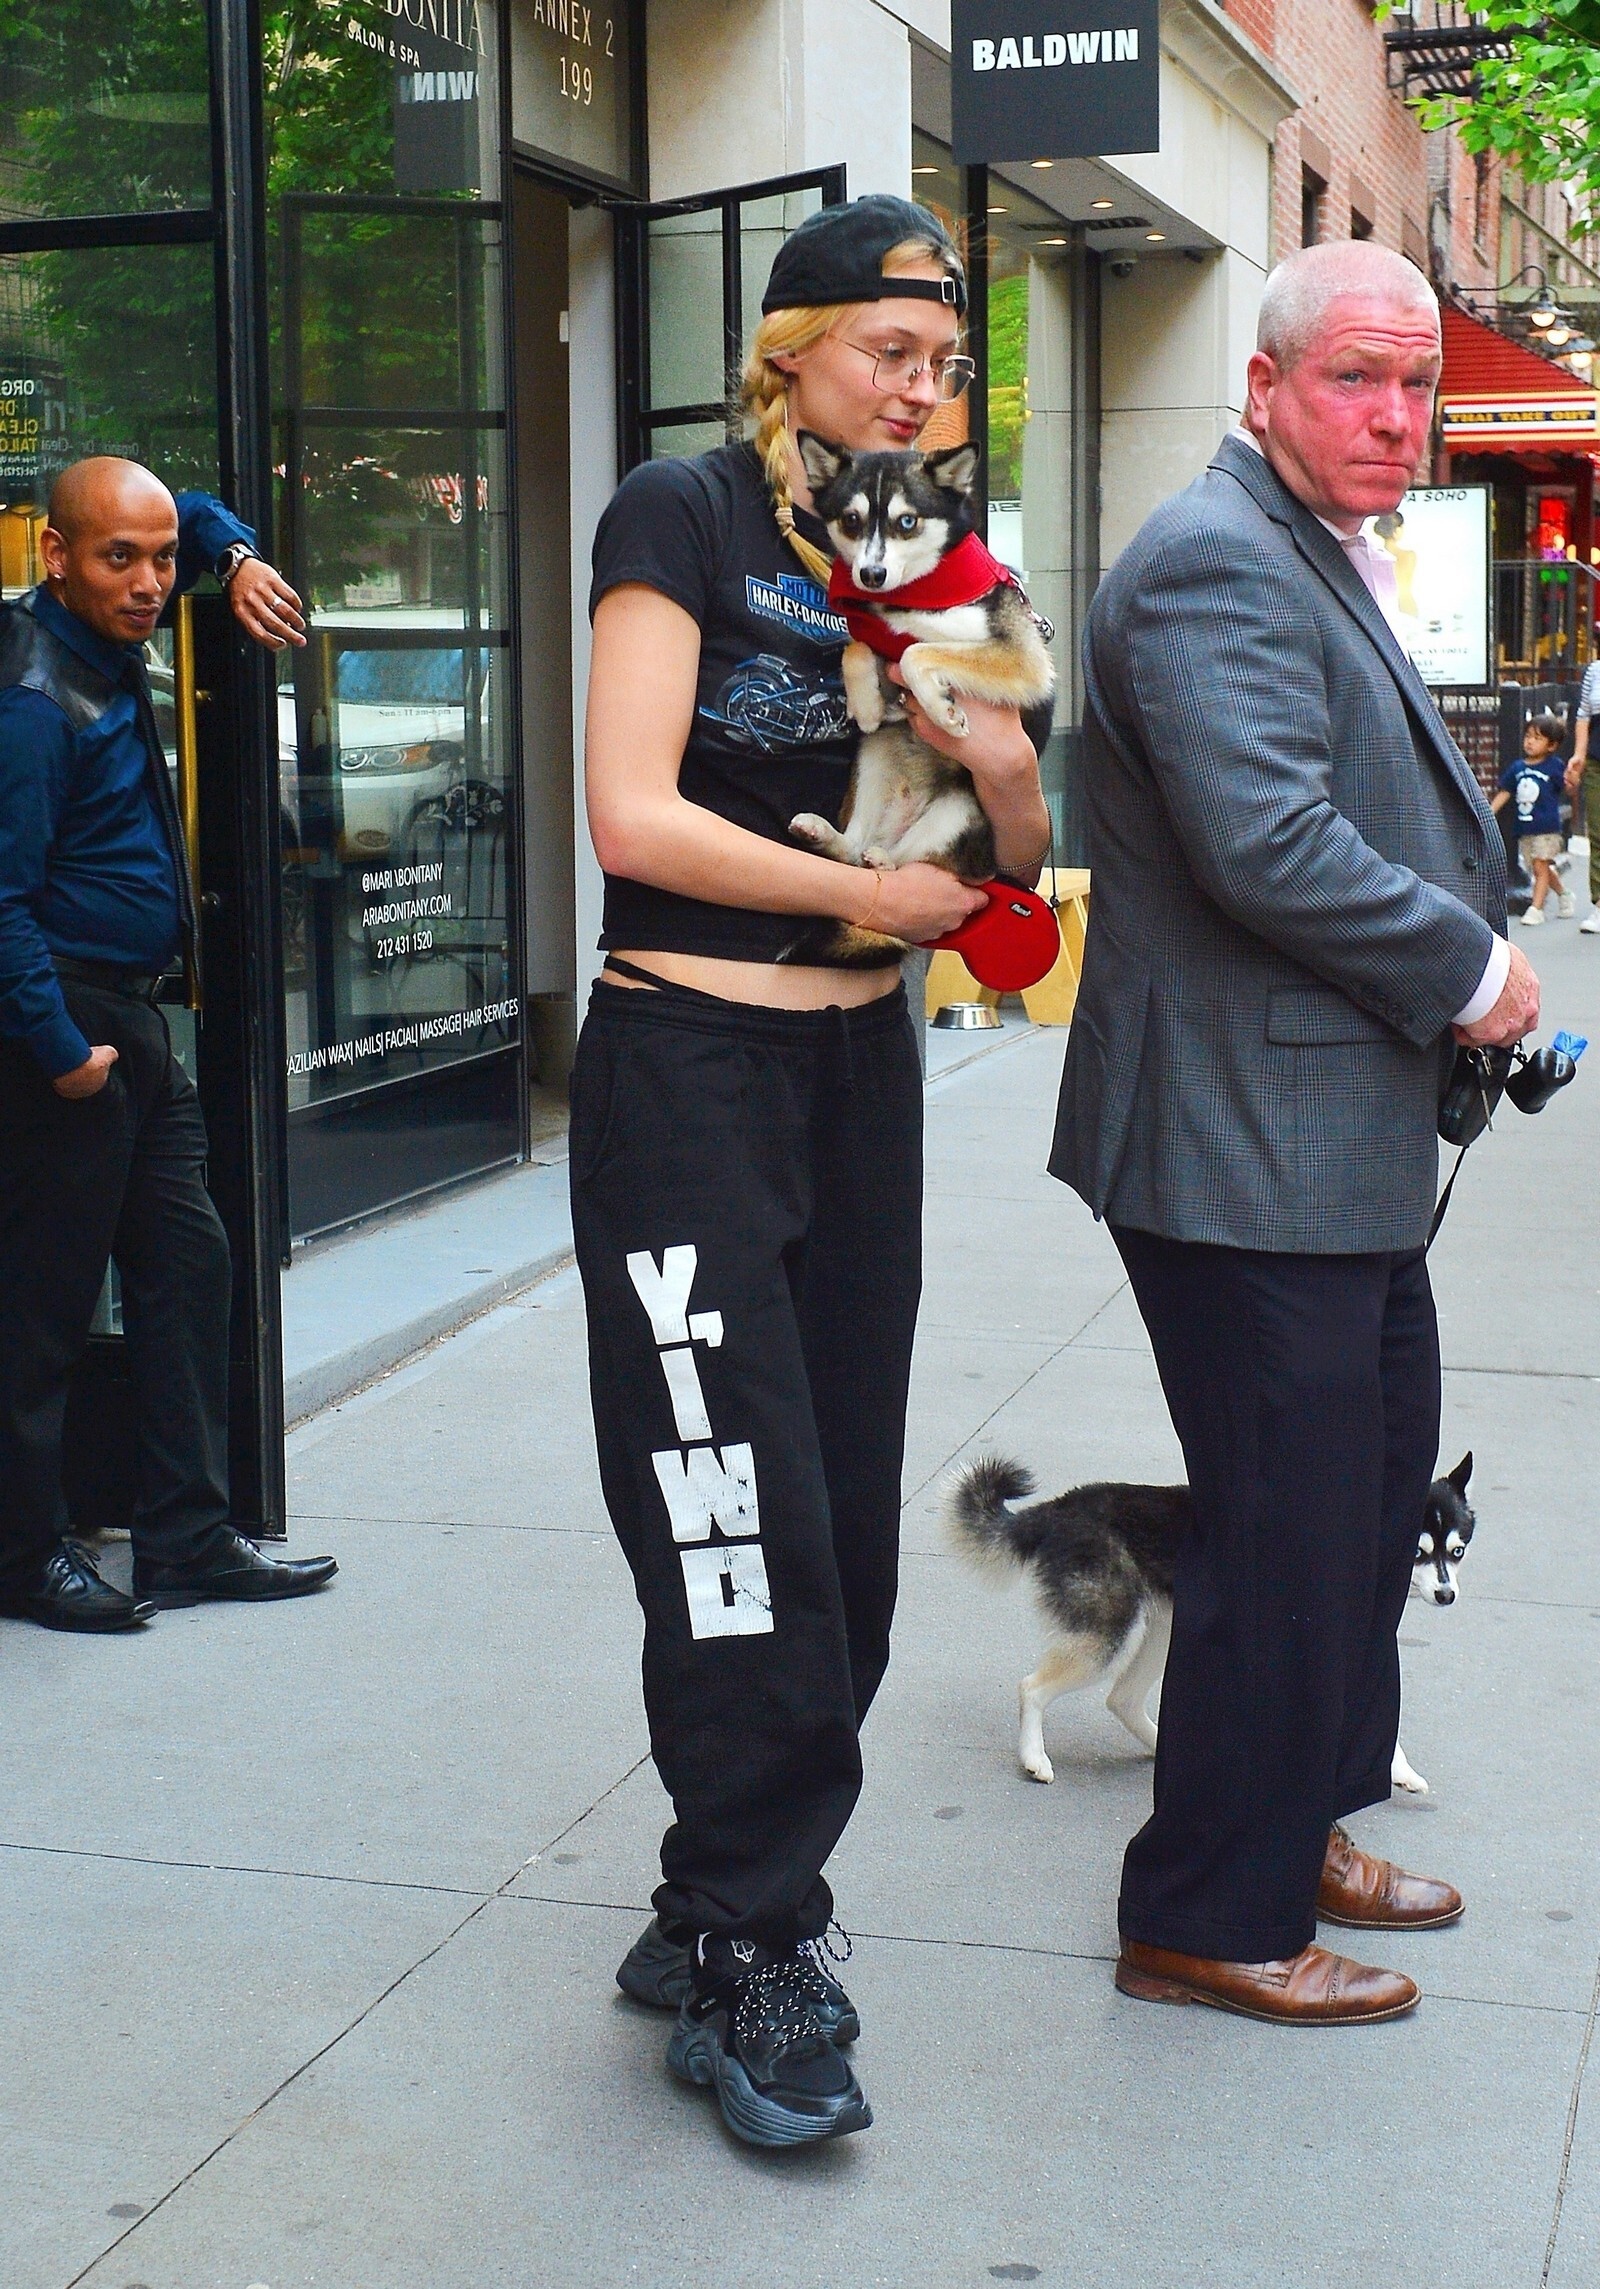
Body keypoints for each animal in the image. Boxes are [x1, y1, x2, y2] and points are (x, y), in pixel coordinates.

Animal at [780, 431, 1055, 964]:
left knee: (913, 867)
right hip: (873, 761)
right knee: (855, 852)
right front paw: (867, 704)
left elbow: (917, 651)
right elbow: (856, 645)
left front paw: (942, 712)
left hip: (960, 813)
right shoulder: (875, 631)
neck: (913, 594)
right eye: (851, 520)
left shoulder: (1021, 659)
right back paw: (825, 833)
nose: (870, 574)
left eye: (907, 522)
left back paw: (887, 858)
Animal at [945, 1451, 1476, 1796]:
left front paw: (1398, 1772)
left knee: (1123, 1700)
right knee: (1032, 1688)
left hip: (1158, 1631)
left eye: (1457, 1551)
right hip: (1111, 1636)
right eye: (1418, 1553)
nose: (1446, 1595)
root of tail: (1060, 1507)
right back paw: (1034, 1758)